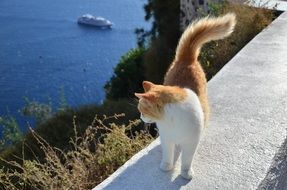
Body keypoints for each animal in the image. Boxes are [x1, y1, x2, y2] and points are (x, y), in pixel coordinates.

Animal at [135, 13, 236, 180]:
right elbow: (167, 154)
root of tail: (187, 58)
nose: (141, 118)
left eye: (142, 110)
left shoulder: (191, 142)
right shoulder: (167, 138)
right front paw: (166, 166)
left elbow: (187, 159)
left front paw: (185, 172)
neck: (171, 120)